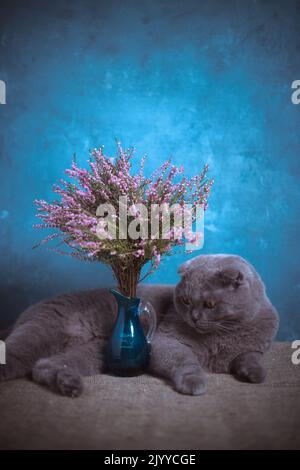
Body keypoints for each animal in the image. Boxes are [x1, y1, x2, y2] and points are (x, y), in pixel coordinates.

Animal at [0, 255, 278, 394]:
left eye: (210, 304)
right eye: (186, 301)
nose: (194, 317)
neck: (224, 334)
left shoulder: (255, 347)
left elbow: (249, 356)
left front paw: (255, 373)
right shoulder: (166, 341)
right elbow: (185, 359)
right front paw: (194, 380)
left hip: (96, 354)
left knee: (43, 366)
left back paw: (70, 385)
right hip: (39, 333)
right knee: (18, 356)